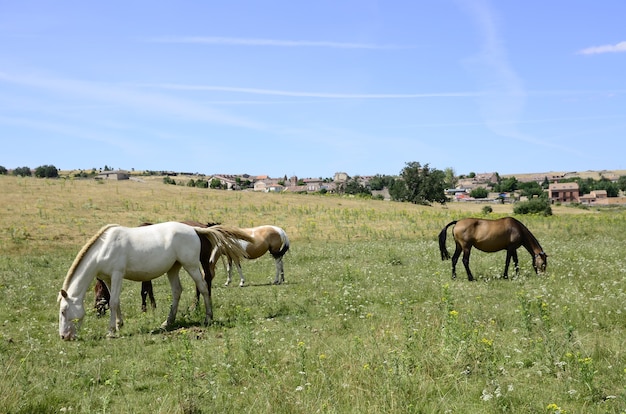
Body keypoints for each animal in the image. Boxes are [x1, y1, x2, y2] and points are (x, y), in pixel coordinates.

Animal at [58, 220, 249, 340]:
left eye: (64, 311)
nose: (64, 337)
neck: (104, 247)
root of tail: (194, 230)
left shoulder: (117, 274)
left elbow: (113, 302)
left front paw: (111, 331)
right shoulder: (109, 278)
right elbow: (115, 301)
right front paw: (119, 324)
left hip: (191, 265)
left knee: (202, 287)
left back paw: (208, 317)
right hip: (173, 268)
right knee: (177, 291)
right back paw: (167, 322)